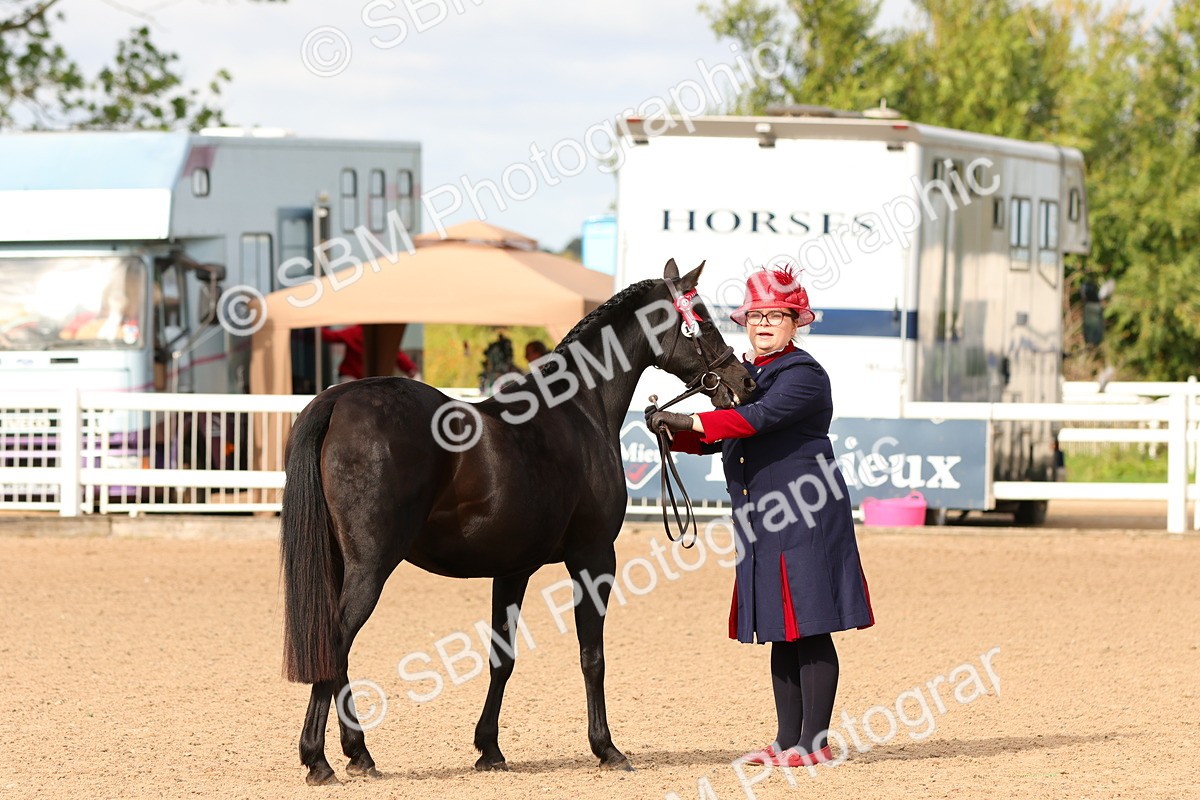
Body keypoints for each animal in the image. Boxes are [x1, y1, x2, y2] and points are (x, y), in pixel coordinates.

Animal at [280, 259, 756, 785]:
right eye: (703, 320)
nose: (745, 381)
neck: (579, 410)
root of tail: (339, 400)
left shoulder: (512, 570)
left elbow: (501, 659)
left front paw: (489, 748)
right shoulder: (594, 559)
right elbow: (593, 657)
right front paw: (606, 748)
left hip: (342, 563)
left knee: (336, 648)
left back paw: (358, 753)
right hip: (371, 565)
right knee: (335, 641)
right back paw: (318, 759)